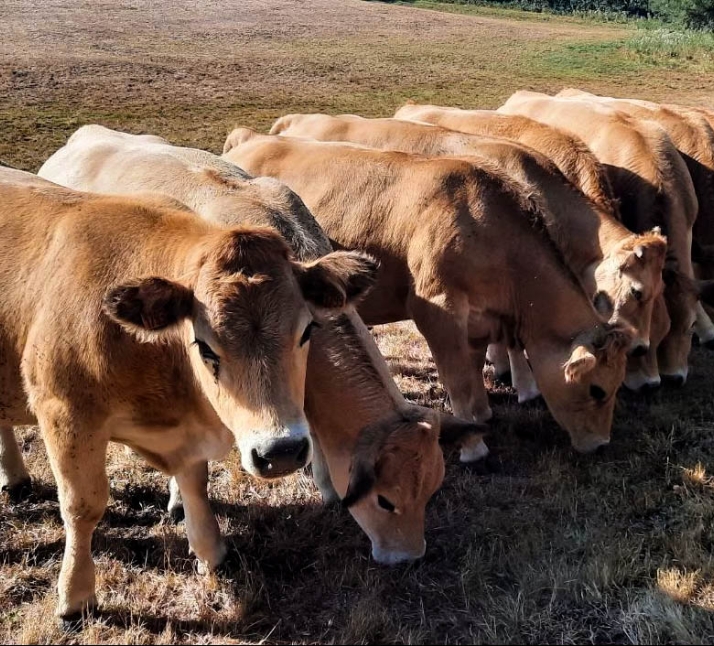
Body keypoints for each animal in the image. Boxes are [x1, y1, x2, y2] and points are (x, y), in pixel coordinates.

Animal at [0, 166, 377, 622]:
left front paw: (211, 552)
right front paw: (75, 596)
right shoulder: (64, 413)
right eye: (205, 346)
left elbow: (195, 482)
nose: (281, 451)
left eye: (307, 330)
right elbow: (82, 505)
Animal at [223, 128, 633, 459]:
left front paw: (482, 417)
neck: (489, 229)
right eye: (598, 390)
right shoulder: (438, 311)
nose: (602, 445)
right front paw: (473, 447)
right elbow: (459, 380)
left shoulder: (478, 321)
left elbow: (472, 371)